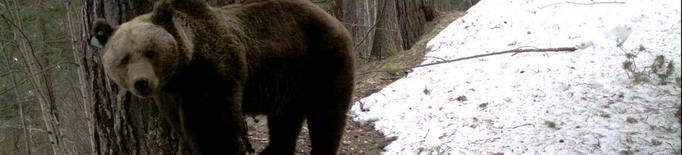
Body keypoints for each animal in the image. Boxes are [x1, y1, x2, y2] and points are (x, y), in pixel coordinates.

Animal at [89, 0, 354, 154]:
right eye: (124, 59)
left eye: (150, 52)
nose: (141, 83)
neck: (182, 72)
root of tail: (335, 21)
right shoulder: (169, 94)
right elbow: (181, 124)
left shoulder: (213, 73)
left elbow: (213, 126)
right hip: (290, 80)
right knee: (285, 120)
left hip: (322, 60)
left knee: (326, 114)